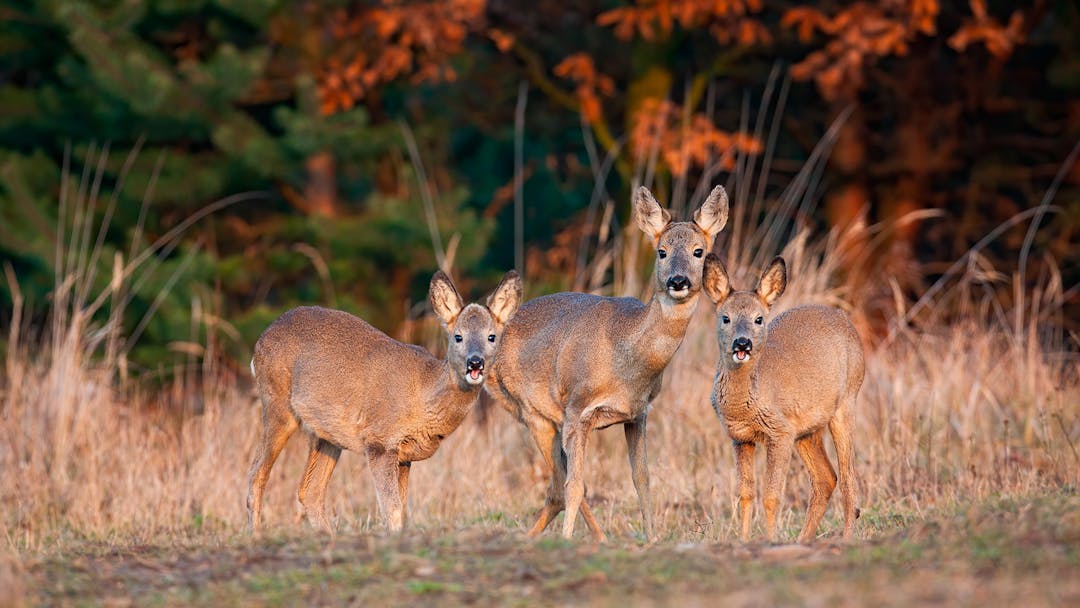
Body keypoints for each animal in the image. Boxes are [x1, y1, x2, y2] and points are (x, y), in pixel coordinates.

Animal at [244, 269, 518, 533]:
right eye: (458, 336)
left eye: (492, 336)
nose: (475, 362)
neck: (423, 394)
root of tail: (259, 342)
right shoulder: (379, 440)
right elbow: (392, 509)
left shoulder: (404, 456)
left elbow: (402, 509)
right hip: (277, 404)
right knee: (256, 476)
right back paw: (256, 535)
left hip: (327, 435)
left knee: (309, 490)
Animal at [492, 185, 730, 542]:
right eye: (661, 251)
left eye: (698, 251)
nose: (678, 281)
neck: (626, 358)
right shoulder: (578, 409)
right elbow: (575, 485)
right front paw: (567, 540)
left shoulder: (637, 413)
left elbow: (642, 480)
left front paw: (652, 539)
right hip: (532, 412)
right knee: (559, 486)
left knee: (556, 486)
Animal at [704, 254, 864, 544]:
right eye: (725, 318)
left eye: (758, 319)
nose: (742, 343)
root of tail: (844, 318)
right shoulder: (740, 437)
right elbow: (745, 495)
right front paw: (744, 541)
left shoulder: (779, 431)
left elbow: (771, 496)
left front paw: (770, 540)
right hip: (807, 429)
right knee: (826, 478)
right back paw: (803, 540)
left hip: (847, 401)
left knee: (848, 478)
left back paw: (846, 539)